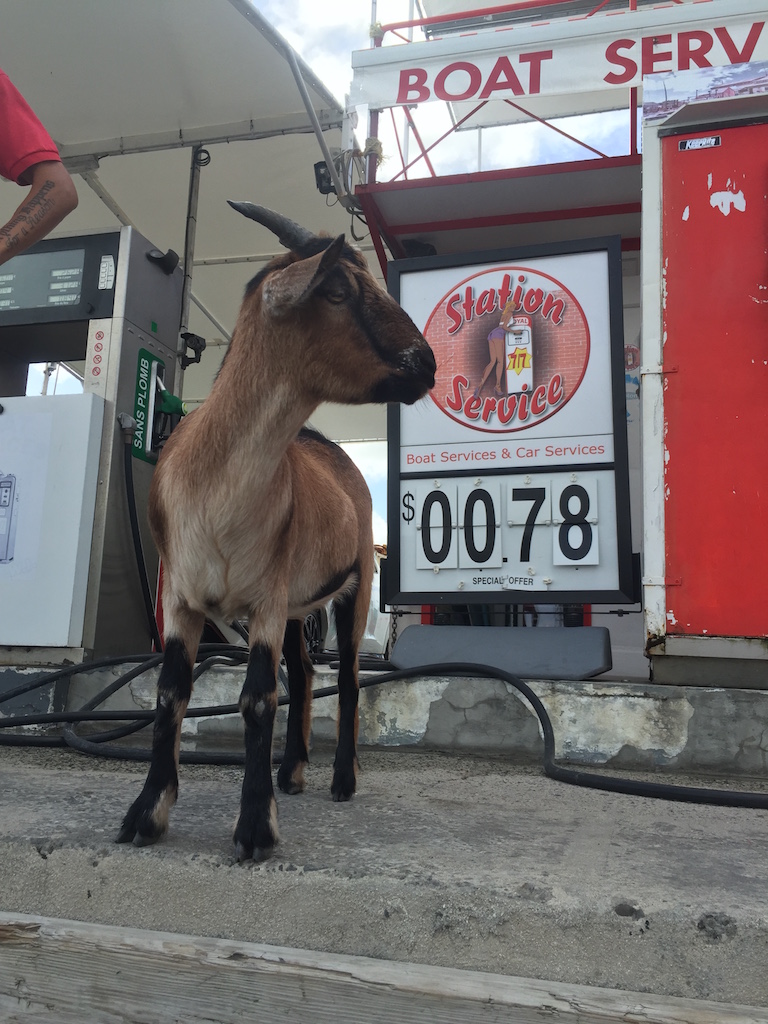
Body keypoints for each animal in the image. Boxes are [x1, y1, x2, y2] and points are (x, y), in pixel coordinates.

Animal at [116, 203, 436, 860]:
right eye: (338, 291)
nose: (428, 363)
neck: (217, 490)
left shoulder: (264, 597)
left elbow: (258, 699)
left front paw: (255, 828)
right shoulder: (182, 597)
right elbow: (170, 695)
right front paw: (146, 814)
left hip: (353, 584)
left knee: (347, 678)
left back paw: (341, 778)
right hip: (295, 605)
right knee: (308, 672)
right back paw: (292, 771)